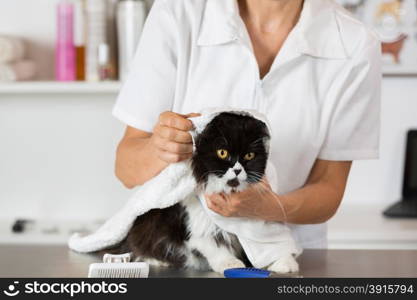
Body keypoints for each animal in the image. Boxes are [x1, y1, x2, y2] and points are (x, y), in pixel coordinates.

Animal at [105, 112, 298, 274]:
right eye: (222, 153)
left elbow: (272, 249)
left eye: (249, 156)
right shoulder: (200, 228)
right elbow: (216, 247)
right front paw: (231, 264)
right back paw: (159, 261)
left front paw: (285, 263)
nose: (237, 170)